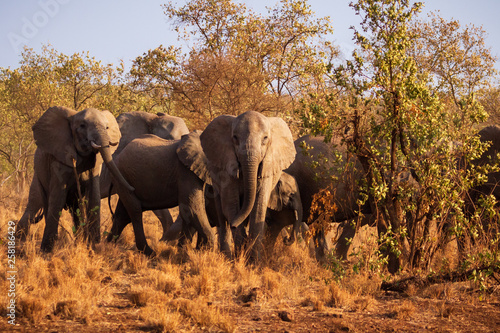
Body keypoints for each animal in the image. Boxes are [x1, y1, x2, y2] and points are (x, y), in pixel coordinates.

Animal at [16, 106, 134, 252]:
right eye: (82, 126)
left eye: (107, 127)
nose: (133, 189)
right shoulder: (59, 157)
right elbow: (57, 198)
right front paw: (47, 250)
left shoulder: (95, 165)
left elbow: (94, 196)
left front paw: (93, 245)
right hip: (38, 175)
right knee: (40, 203)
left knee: (75, 210)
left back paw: (79, 240)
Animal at [198, 110, 294, 258]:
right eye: (235, 138)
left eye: (265, 138)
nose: (234, 225)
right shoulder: (227, 165)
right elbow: (231, 206)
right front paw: (240, 257)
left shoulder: (267, 166)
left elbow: (259, 206)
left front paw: (253, 260)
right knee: (222, 214)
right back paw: (227, 255)